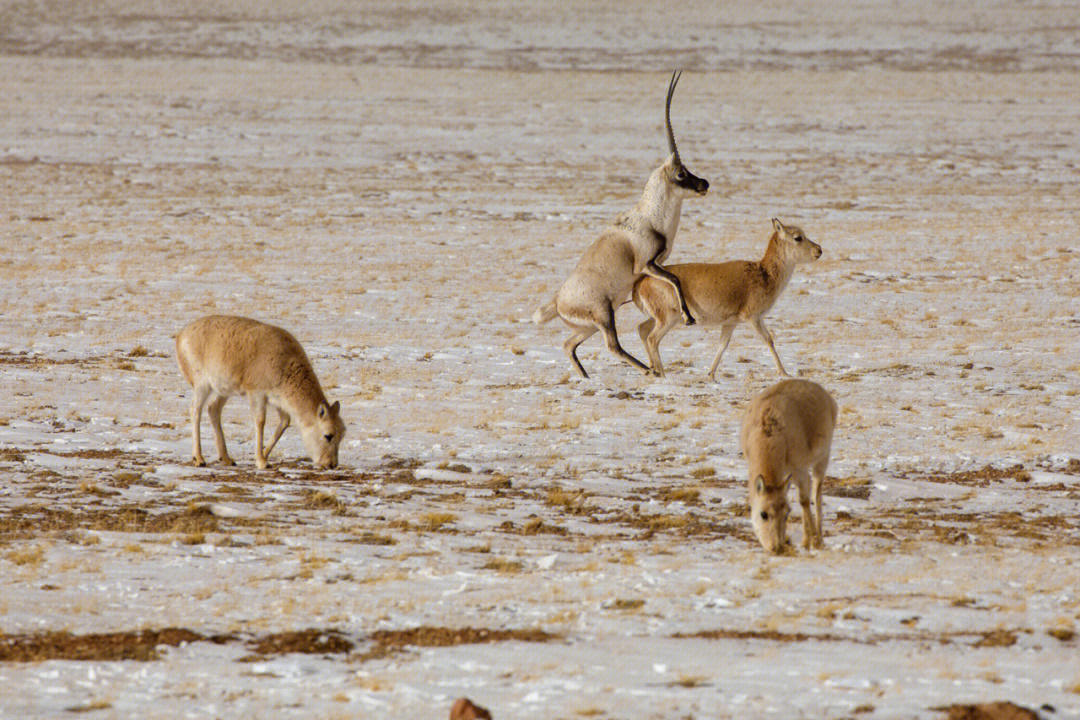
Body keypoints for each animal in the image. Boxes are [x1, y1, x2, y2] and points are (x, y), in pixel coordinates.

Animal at [176, 313, 345, 470]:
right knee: (195, 409)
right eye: (328, 435)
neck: (285, 364)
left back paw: (226, 458)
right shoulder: (257, 394)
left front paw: (263, 455)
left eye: (342, 434)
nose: (332, 464)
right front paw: (262, 461)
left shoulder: (278, 400)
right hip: (202, 384)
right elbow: (260, 421)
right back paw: (198, 458)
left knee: (213, 409)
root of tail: (181, 335)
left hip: (222, 389)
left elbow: (285, 421)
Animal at [531, 70, 708, 379]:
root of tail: (557, 301)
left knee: (569, 345)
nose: (704, 184)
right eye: (681, 173)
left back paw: (587, 378)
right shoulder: (647, 264)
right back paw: (647, 371)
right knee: (612, 346)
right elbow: (674, 279)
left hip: (590, 327)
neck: (648, 217)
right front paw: (688, 318)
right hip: (604, 315)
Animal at [630, 216, 816, 379]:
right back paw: (661, 374)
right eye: (798, 237)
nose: (819, 250)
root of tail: (639, 283)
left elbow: (722, 345)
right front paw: (783, 372)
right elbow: (768, 339)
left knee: (642, 329)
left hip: (657, 318)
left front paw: (711, 375)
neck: (764, 273)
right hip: (667, 319)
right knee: (652, 338)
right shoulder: (753, 318)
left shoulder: (731, 323)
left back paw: (651, 368)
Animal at [738, 379, 838, 557]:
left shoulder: (799, 469)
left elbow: (804, 500)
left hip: (822, 459)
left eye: (787, 514)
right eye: (763, 514)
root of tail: (828, 397)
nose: (777, 547)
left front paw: (814, 542)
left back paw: (818, 539)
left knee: (816, 494)